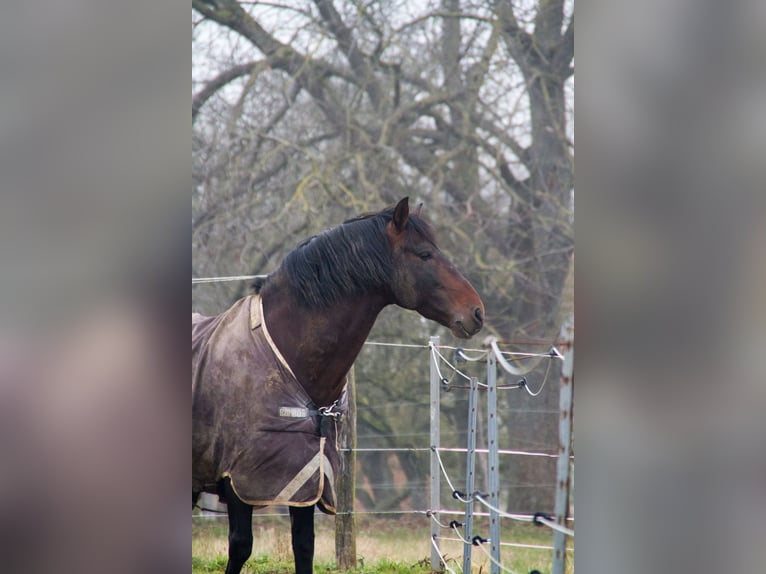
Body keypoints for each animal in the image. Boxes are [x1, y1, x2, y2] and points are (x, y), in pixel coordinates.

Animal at [192, 196, 484, 572]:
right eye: (424, 254)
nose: (476, 312)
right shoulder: (240, 482)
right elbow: (241, 546)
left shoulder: (305, 481)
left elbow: (304, 546)